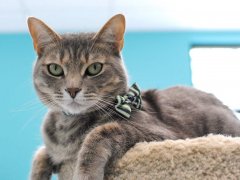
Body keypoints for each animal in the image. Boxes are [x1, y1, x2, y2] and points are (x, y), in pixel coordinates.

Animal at [27, 14, 240, 180]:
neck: (68, 129)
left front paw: (86, 174)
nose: (72, 89)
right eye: (55, 69)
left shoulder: (161, 135)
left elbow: (101, 132)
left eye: (94, 68)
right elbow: (40, 154)